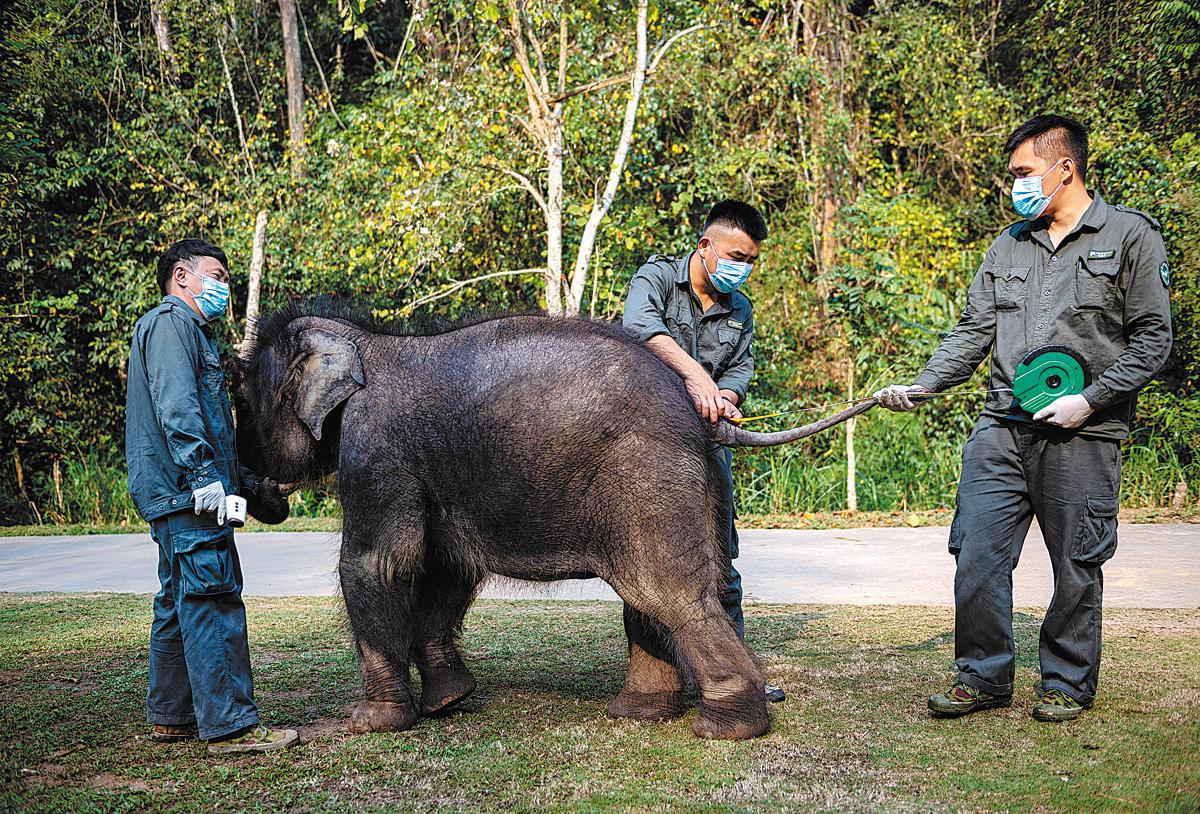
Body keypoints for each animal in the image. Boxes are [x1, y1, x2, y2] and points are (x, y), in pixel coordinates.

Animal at [234, 297, 816, 739]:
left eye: (246, 399)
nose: (258, 489)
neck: (363, 340)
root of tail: (700, 409)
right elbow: (446, 568)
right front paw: (450, 702)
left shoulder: (375, 447)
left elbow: (376, 565)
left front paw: (370, 723)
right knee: (650, 597)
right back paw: (638, 714)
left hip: (648, 476)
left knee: (670, 593)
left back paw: (724, 730)